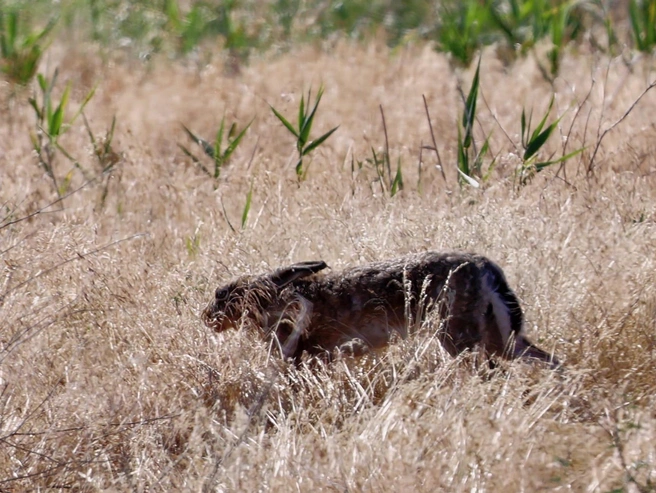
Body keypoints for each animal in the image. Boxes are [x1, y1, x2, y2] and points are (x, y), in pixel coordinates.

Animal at [202, 252, 559, 367]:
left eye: (222, 294)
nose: (206, 318)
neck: (275, 301)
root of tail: (486, 270)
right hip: (500, 337)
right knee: (548, 360)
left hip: (459, 337)